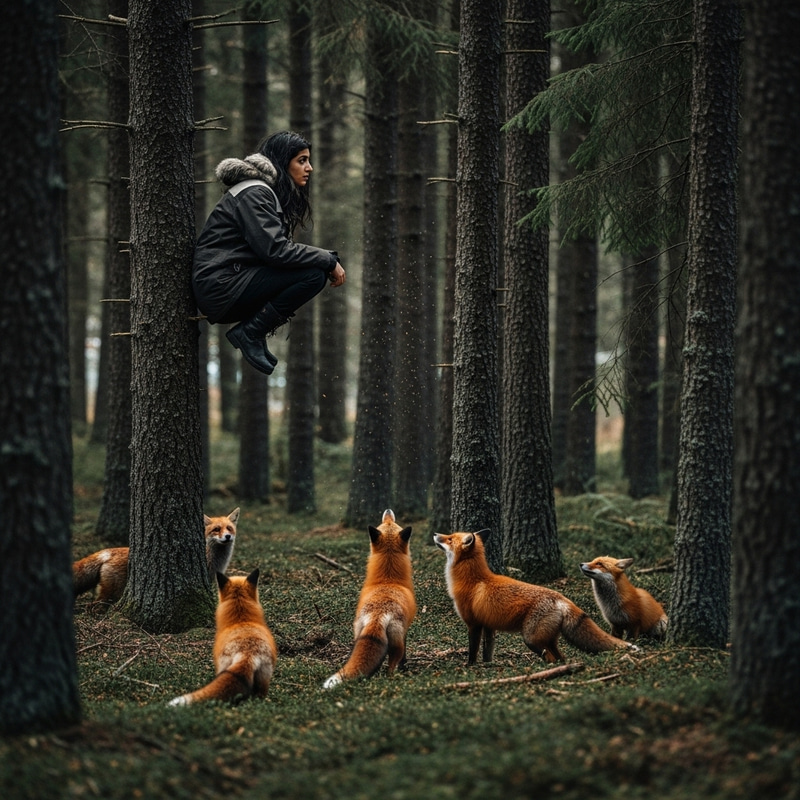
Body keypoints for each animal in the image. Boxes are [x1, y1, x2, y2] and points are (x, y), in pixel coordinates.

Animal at [73, 508, 240, 606]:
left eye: (229, 528)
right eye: (216, 529)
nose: (227, 537)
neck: (213, 559)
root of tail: (108, 552)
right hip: (110, 593)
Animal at [322, 509, 416, 689]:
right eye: (387, 522)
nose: (388, 510)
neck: (388, 580)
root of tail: (377, 615)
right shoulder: (405, 632)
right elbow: (405, 657)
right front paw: (405, 668)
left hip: (357, 634)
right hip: (396, 644)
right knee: (391, 666)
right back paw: (391, 678)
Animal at [433, 529, 636, 664]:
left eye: (449, 539)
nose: (435, 534)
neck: (473, 580)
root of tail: (562, 598)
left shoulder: (473, 624)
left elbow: (473, 651)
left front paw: (471, 667)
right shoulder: (488, 625)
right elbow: (487, 651)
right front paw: (487, 666)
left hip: (531, 639)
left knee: (550, 657)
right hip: (548, 639)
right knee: (561, 658)